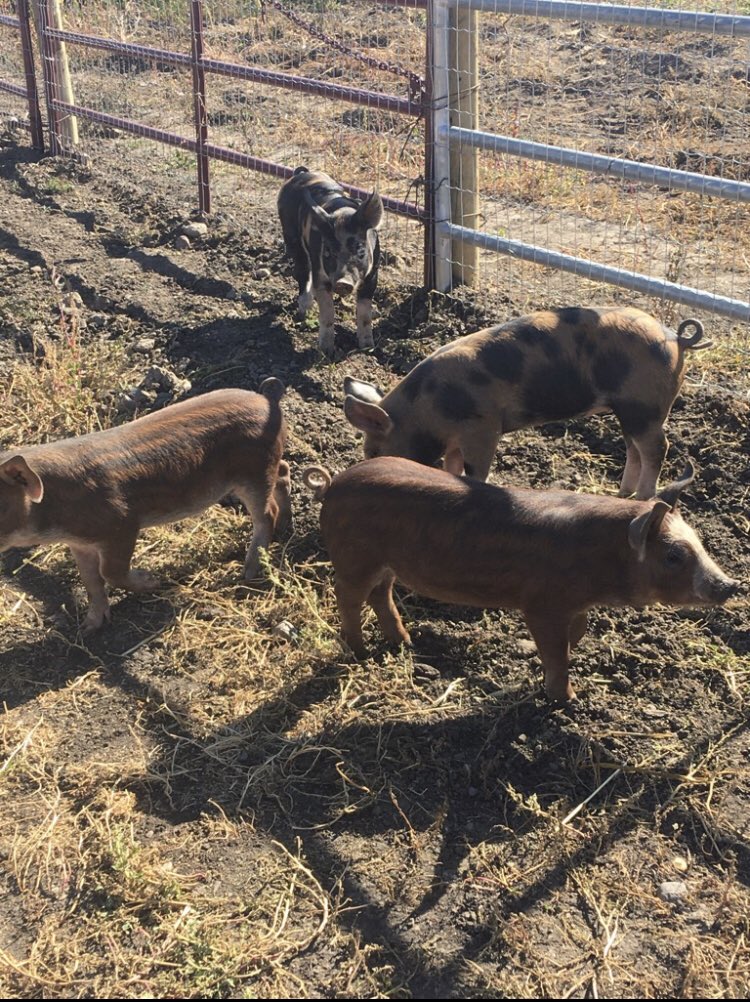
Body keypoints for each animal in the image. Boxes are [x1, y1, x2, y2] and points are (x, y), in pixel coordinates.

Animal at [0, 380, 291, 632]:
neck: (55, 512)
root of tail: (268, 398)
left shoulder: (124, 524)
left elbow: (110, 572)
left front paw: (154, 581)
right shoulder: (79, 544)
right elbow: (91, 581)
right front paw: (89, 628)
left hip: (255, 472)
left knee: (267, 513)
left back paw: (248, 572)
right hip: (266, 468)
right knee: (285, 472)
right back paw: (285, 528)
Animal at [277, 165, 383, 356]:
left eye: (360, 250)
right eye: (328, 251)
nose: (343, 282)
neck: (343, 215)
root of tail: (301, 173)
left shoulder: (372, 275)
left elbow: (365, 314)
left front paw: (367, 348)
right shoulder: (321, 275)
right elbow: (327, 312)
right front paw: (326, 351)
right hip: (291, 237)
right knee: (303, 271)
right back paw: (305, 310)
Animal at [303, 456, 739, 701]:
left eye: (699, 542)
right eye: (673, 555)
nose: (731, 585)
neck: (599, 557)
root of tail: (333, 483)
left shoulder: (573, 604)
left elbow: (576, 634)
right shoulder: (541, 604)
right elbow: (556, 652)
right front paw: (568, 701)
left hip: (388, 563)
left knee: (381, 594)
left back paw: (405, 643)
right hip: (355, 558)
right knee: (347, 596)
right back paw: (360, 653)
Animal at [344, 306, 710, 499]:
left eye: (373, 452)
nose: (370, 476)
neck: (427, 406)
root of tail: (676, 339)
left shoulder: (483, 427)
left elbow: (475, 473)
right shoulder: (457, 437)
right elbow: (451, 466)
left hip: (644, 406)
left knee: (657, 449)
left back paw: (644, 499)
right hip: (630, 412)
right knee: (635, 450)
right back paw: (620, 496)